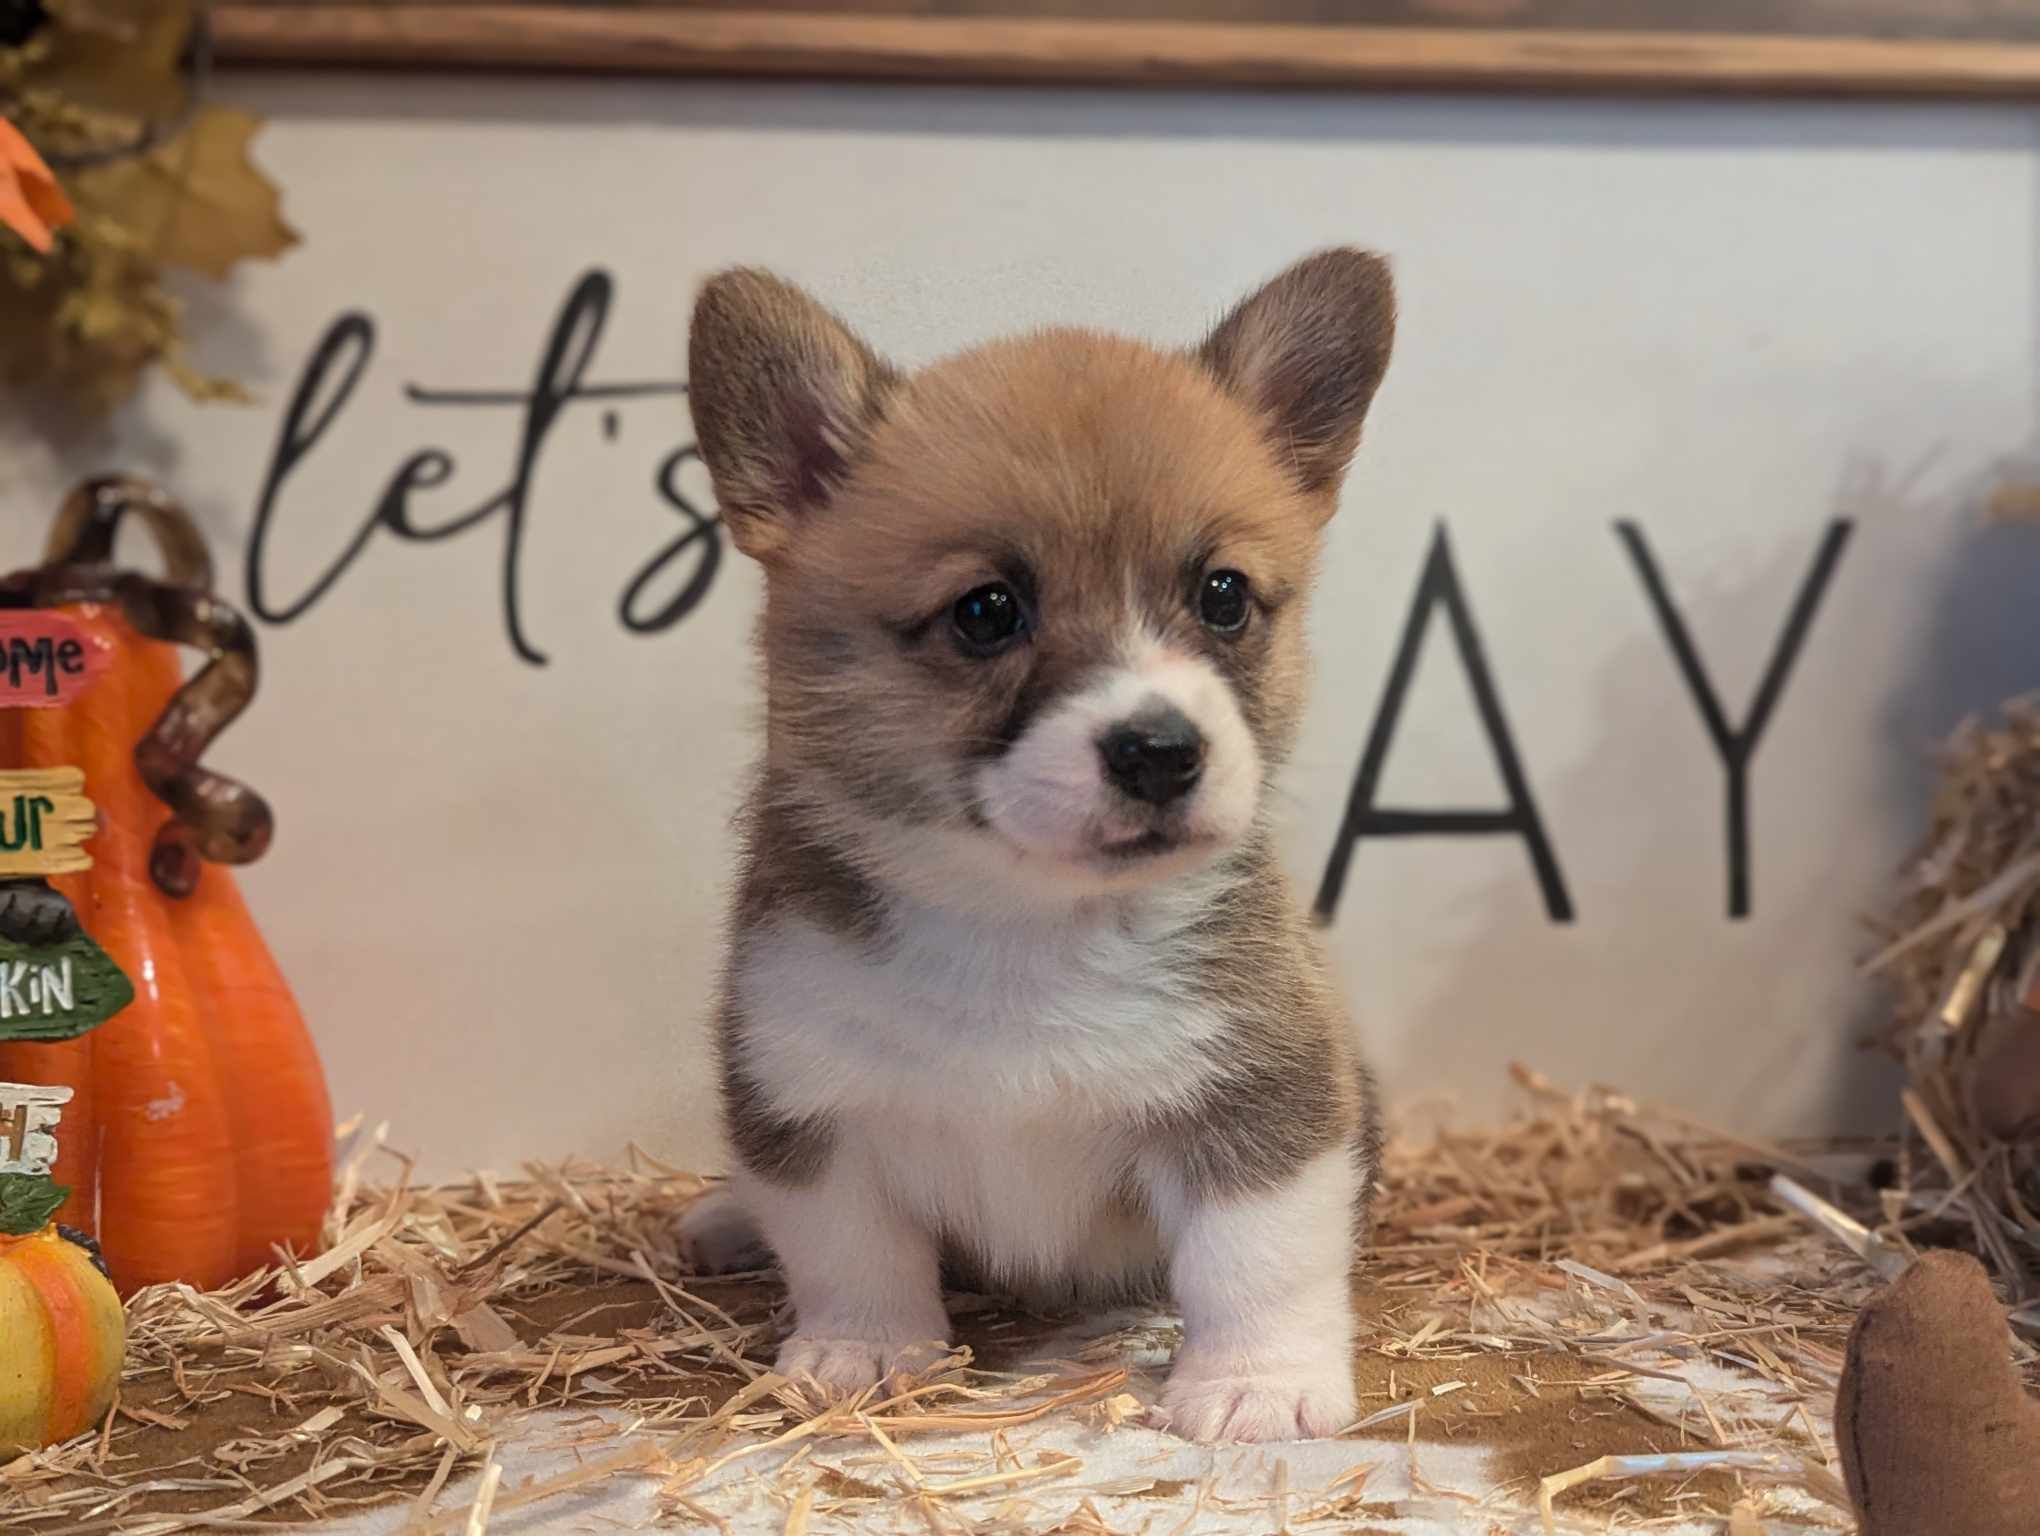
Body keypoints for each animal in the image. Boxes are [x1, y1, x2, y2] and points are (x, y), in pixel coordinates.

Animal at [678, 249, 1393, 1443]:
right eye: (987, 610)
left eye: (1223, 595)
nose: (1161, 752)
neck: (1023, 927)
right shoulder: (807, 1098)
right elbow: (849, 1255)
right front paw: (864, 1355)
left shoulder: (1261, 1097)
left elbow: (1255, 1259)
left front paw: (1256, 1384)